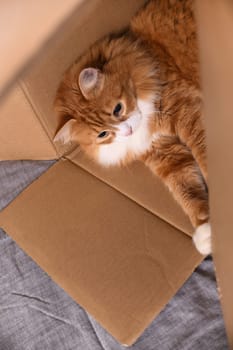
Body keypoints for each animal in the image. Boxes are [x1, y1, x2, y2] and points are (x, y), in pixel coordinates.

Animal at [54, 0, 211, 258]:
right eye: (103, 134)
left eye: (118, 109)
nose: (127, 132)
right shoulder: (164, 154)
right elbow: (187, 190)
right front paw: (206, 229)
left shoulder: (189, 114)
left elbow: (205, 159)